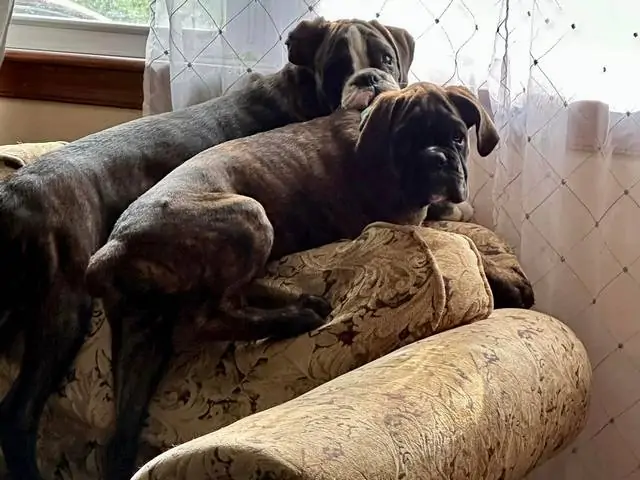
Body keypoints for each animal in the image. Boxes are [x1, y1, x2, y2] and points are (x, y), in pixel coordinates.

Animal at [0, 17, 416, 480]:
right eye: (338, 67)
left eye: (386, 59)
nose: (370, 79)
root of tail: (10, 197)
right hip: (68, 310)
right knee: (20, 415)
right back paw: (297, 315)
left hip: (139, 335)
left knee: (121, 434)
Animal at [84, 69, 500, 478]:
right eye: (406, 140)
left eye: (457, 137)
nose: (436, 158)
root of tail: (117, 244)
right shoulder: (406, 218)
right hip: (250, 215)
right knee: (209, 317)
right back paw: (296, 316)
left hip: (141, 339)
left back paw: (299, 303)